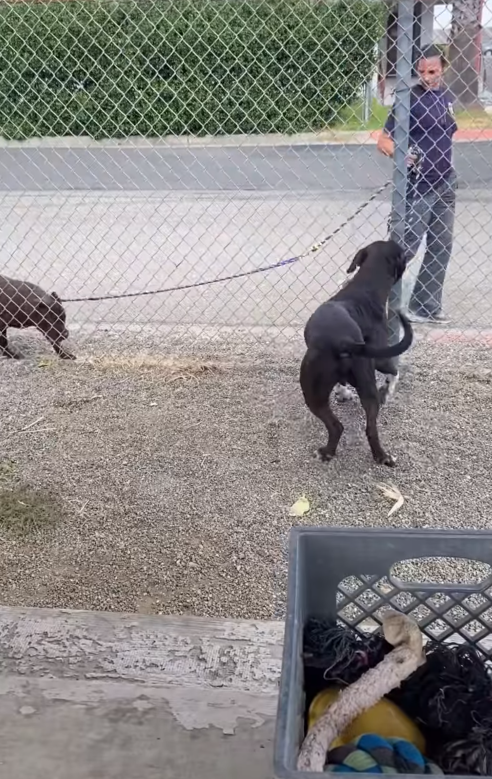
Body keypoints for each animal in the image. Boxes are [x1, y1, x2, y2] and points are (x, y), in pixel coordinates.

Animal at [300, 241, 412, 466]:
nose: (409, 251)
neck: (365, 287)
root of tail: (343, 340)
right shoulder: (379, 356)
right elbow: (394, 371)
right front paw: (385, 390)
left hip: (314, 392)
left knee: (338, 426)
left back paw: (328, 452)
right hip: (361, 383)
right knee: (367, 428)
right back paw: (381, 456)